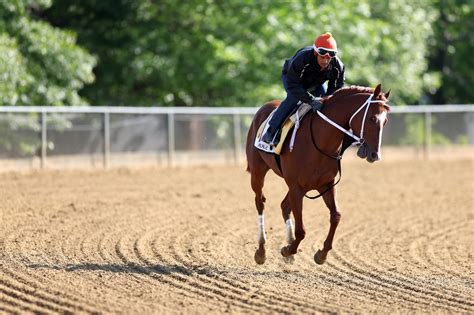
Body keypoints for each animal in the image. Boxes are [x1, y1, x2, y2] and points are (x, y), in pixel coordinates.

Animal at [244, 83, 388, 264]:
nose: (375, 154)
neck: (320, 142)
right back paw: (262, 250)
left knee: (284, 205)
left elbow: (336, 216)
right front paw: (288, 249)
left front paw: (321, 253)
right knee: (260, 202)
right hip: (258, 171)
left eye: (386, 121)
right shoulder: (296, 187)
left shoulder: (326, 185)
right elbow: (302, 230)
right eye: (372, 118)